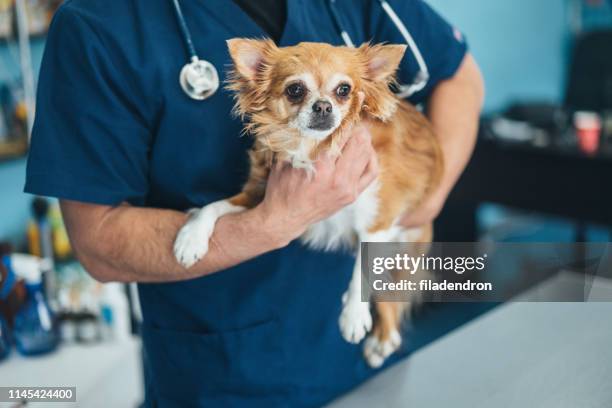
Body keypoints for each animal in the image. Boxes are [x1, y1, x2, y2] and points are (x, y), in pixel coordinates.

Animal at [175, 39, 442, 368]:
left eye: (344, 90)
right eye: (295, 90)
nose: (324, 106)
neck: (312, 148)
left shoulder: (377, 221)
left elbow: (362, 270)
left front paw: (353, 316)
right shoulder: (258, 198)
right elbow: (212, 206)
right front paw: (191, 238)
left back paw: (382, 339)